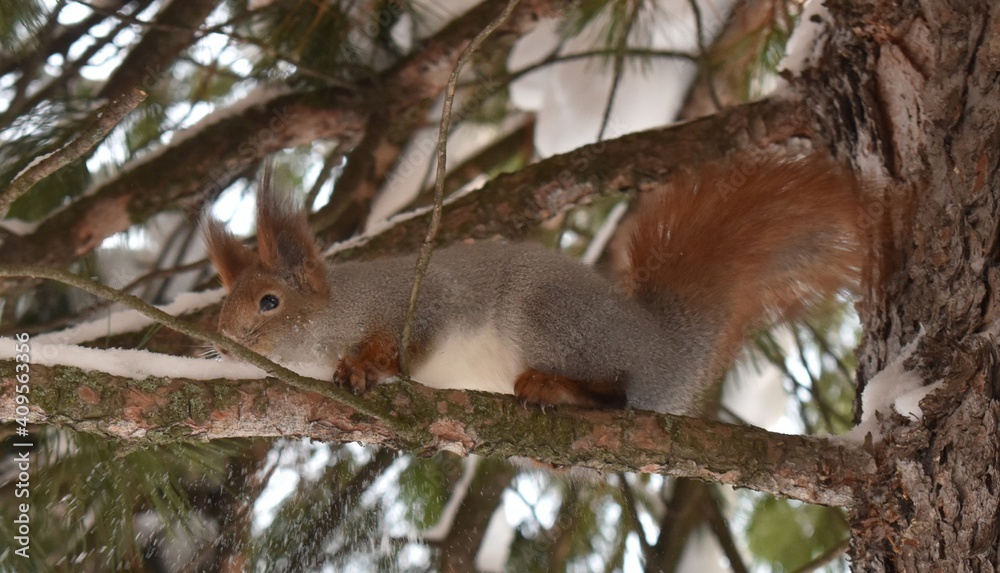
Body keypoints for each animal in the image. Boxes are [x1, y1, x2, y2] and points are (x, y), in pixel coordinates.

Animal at [203, 155, 865, 416]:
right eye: (225, 302)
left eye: (269, 302)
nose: (222, 338)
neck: (333, 319)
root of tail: (661, 349)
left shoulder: (423, 299)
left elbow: (411, 339)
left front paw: (367, 365)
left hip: (552, 321)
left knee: (616, 395)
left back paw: (554, 387)